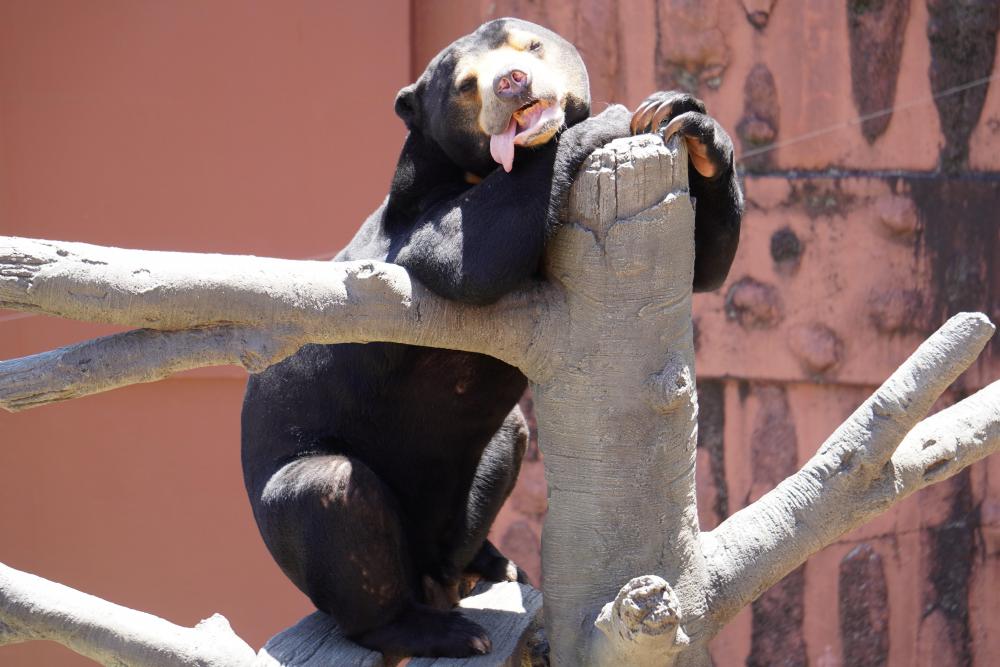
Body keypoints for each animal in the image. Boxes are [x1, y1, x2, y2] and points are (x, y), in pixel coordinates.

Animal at [240, 17, 744, 664]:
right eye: (464, 85)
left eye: (531, 45)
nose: (513, 82)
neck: (478, 170)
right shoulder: (410, 233)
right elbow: (466, 253)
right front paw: (606, 118)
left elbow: (703, 268)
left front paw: (678, 113)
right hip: (298, 518)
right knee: (330, 497)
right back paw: (446, 629)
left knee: (508, 436)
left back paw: (489, 567)